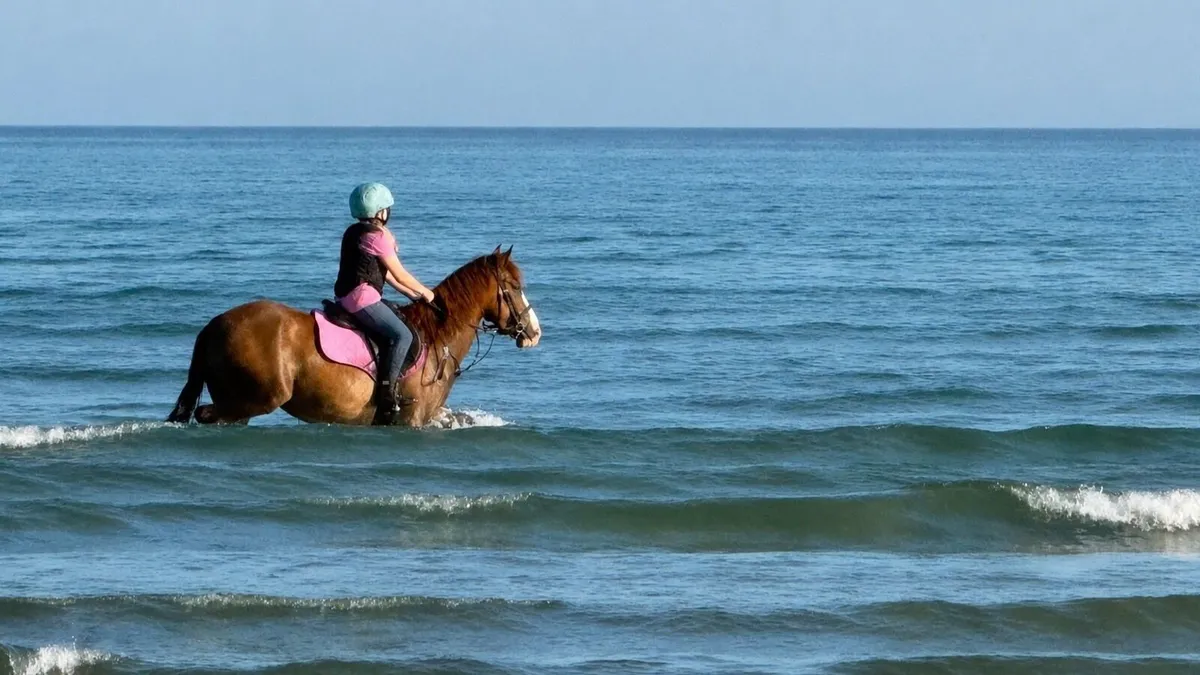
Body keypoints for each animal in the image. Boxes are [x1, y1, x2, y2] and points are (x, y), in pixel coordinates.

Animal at [166, 246, 541, 427]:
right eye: (513, 286)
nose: (534, 332)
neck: (438, 336)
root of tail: (214, 325)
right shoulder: (412, 420)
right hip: (256, 397)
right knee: (209, 415)